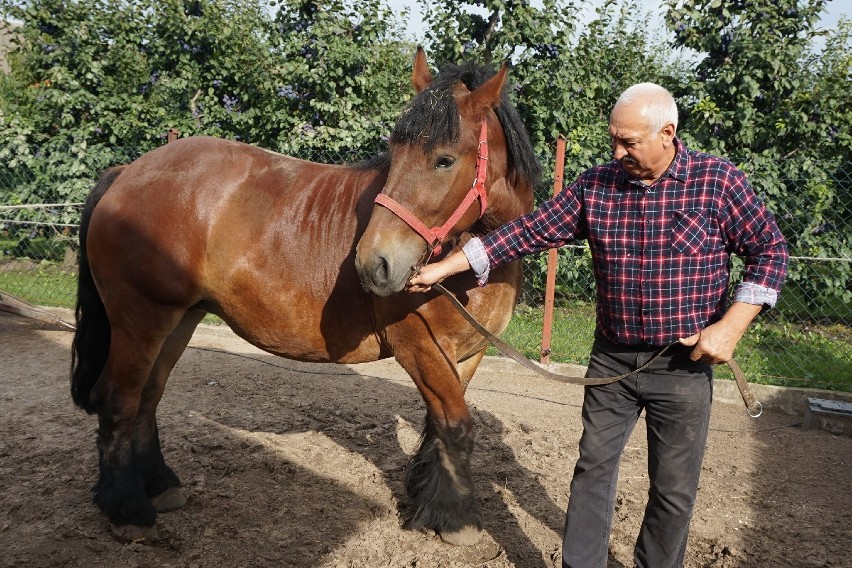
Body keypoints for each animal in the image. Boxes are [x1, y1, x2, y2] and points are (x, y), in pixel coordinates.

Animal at [71, 47, 540, 544]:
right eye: (396, 153)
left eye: (444, 160)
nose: (374, 264)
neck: (473, 257)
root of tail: (128, 172)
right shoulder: (419, 348)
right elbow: (456, 425)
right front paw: (459, 519)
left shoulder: (469, 352)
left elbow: (438, 427)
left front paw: (429, 502)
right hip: (140, 318)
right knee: (118, 399)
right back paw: (127, 508)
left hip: (179, 320)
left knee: (147, 396)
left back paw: (159, 485)